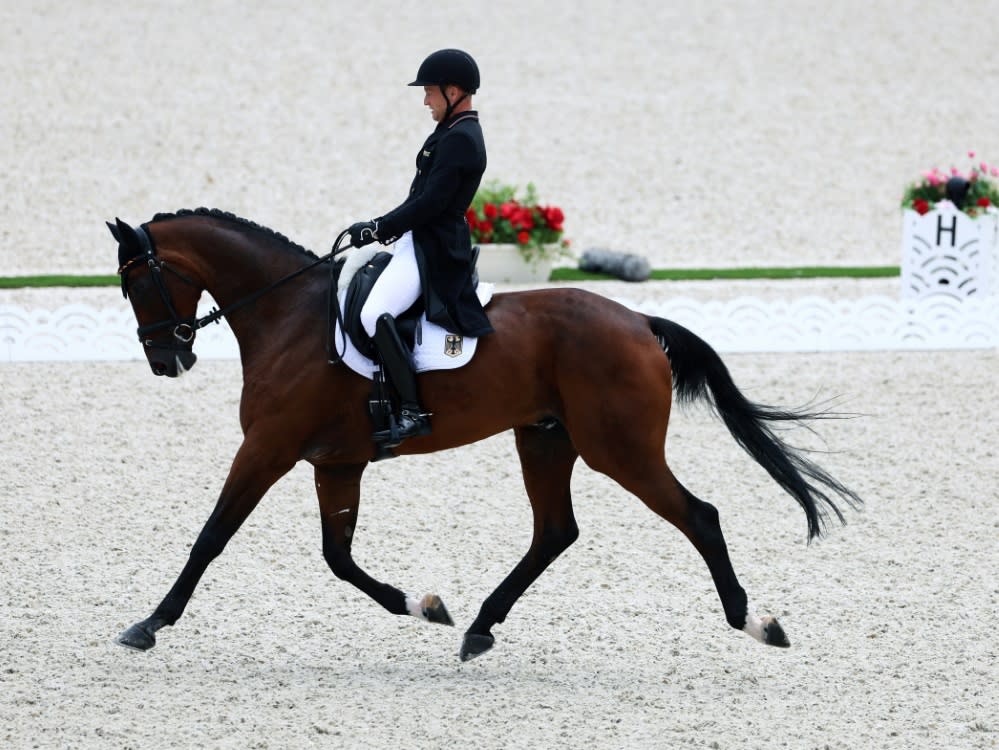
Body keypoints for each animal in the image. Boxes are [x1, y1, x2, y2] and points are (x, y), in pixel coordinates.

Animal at [107, 209, 860, 660]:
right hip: (545, 438)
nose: (166, 360)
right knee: (555, 531)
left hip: (617, 449)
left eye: (136, 284)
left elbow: (212, 536)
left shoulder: (267, 449)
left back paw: (755, 622)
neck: (289, 315)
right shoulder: (336, 463)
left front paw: (148, 625)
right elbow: (337, 557)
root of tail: (639, 321)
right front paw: (423, 605)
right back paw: (476, 627)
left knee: (697, 516)